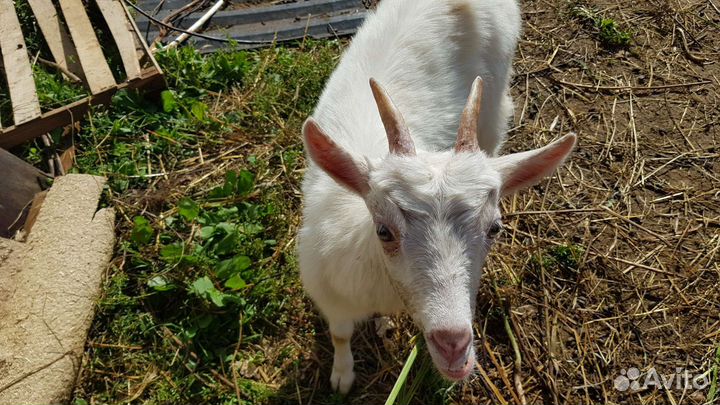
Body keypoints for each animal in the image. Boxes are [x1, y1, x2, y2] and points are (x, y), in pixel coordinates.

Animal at [298, 0, 576, 394]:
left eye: (495, 229)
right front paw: (342, 375)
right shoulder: (330, 295)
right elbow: (340, 336)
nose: (454, 346)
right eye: (383, 231)